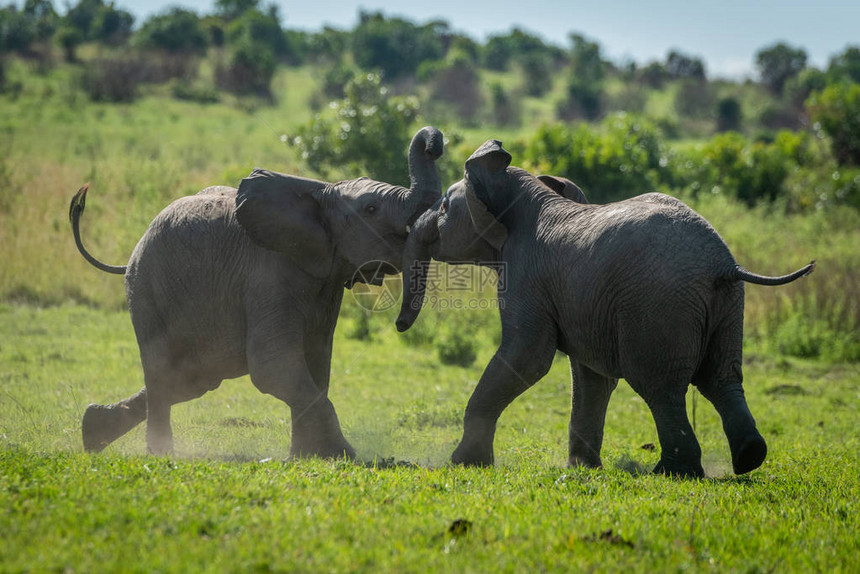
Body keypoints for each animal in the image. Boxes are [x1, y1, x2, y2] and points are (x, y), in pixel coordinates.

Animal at [71, 126, 446, 460]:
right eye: (370, 209)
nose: (435, 144)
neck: (320, 193)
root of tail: (131, 256)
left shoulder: (324, 282)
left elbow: (315, 363)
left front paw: (306, 457)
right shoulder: (269, 275)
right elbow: (274, 365)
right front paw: (347, 457)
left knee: (192, 379)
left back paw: (93, 431)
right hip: (147, 290)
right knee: (165, 370)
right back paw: (158, 454)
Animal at [396, 141, 812, 482]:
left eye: (445, 207)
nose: (400, 326)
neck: (527, 192)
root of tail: (722, 263)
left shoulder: (526, 273)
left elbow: (528, 357)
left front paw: (464, 463)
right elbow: (591, 377)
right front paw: (583, 469)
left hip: (658, 304)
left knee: (660, 386)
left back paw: (671, 473)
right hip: (727, 304)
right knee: (722, 377)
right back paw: (749, 458)